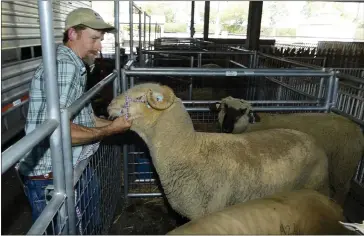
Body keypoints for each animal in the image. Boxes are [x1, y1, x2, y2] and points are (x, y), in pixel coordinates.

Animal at [209, 96, 364, 206]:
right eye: (224, 107)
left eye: (242, 112)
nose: (226, 128)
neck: (252, 125)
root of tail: (356, 128)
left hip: (343, 165)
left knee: (343, 189)